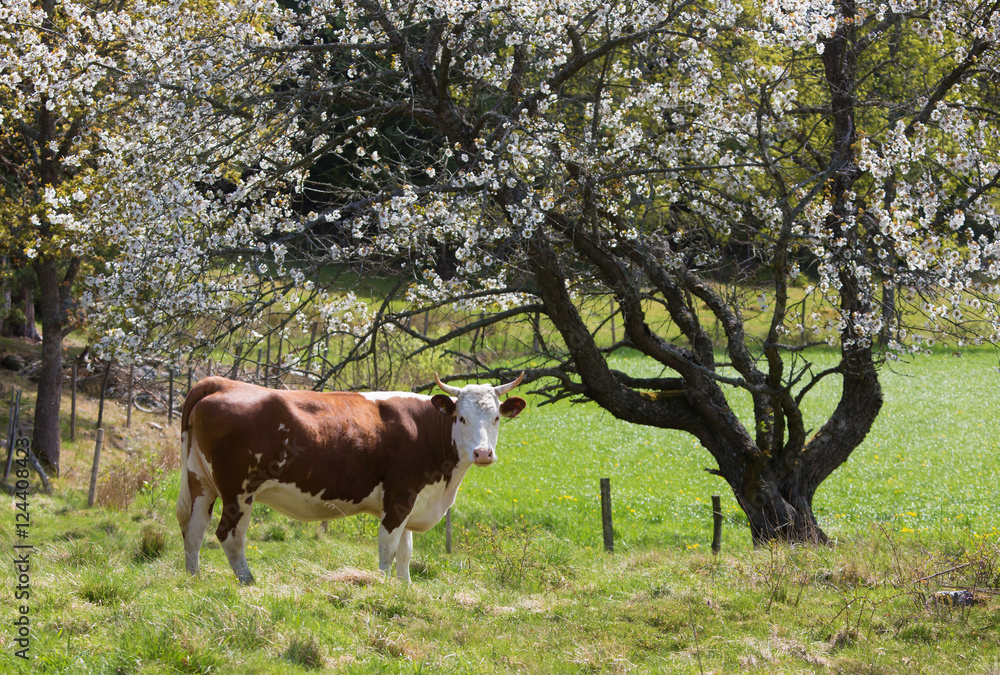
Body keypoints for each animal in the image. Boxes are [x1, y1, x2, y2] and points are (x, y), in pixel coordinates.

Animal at [176, 372, 526, 584]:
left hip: (200, 481)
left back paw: (194, 580)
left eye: (496, 417)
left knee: (193, 529)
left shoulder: (412, 501)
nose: (483, 453)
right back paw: (248, 582)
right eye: (462, 417)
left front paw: (405, 589)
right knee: (229, 535)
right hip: (239, 490)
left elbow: (406, 552)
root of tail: (222, 382)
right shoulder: (399, 497)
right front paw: (383, 586)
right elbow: (388, 547)